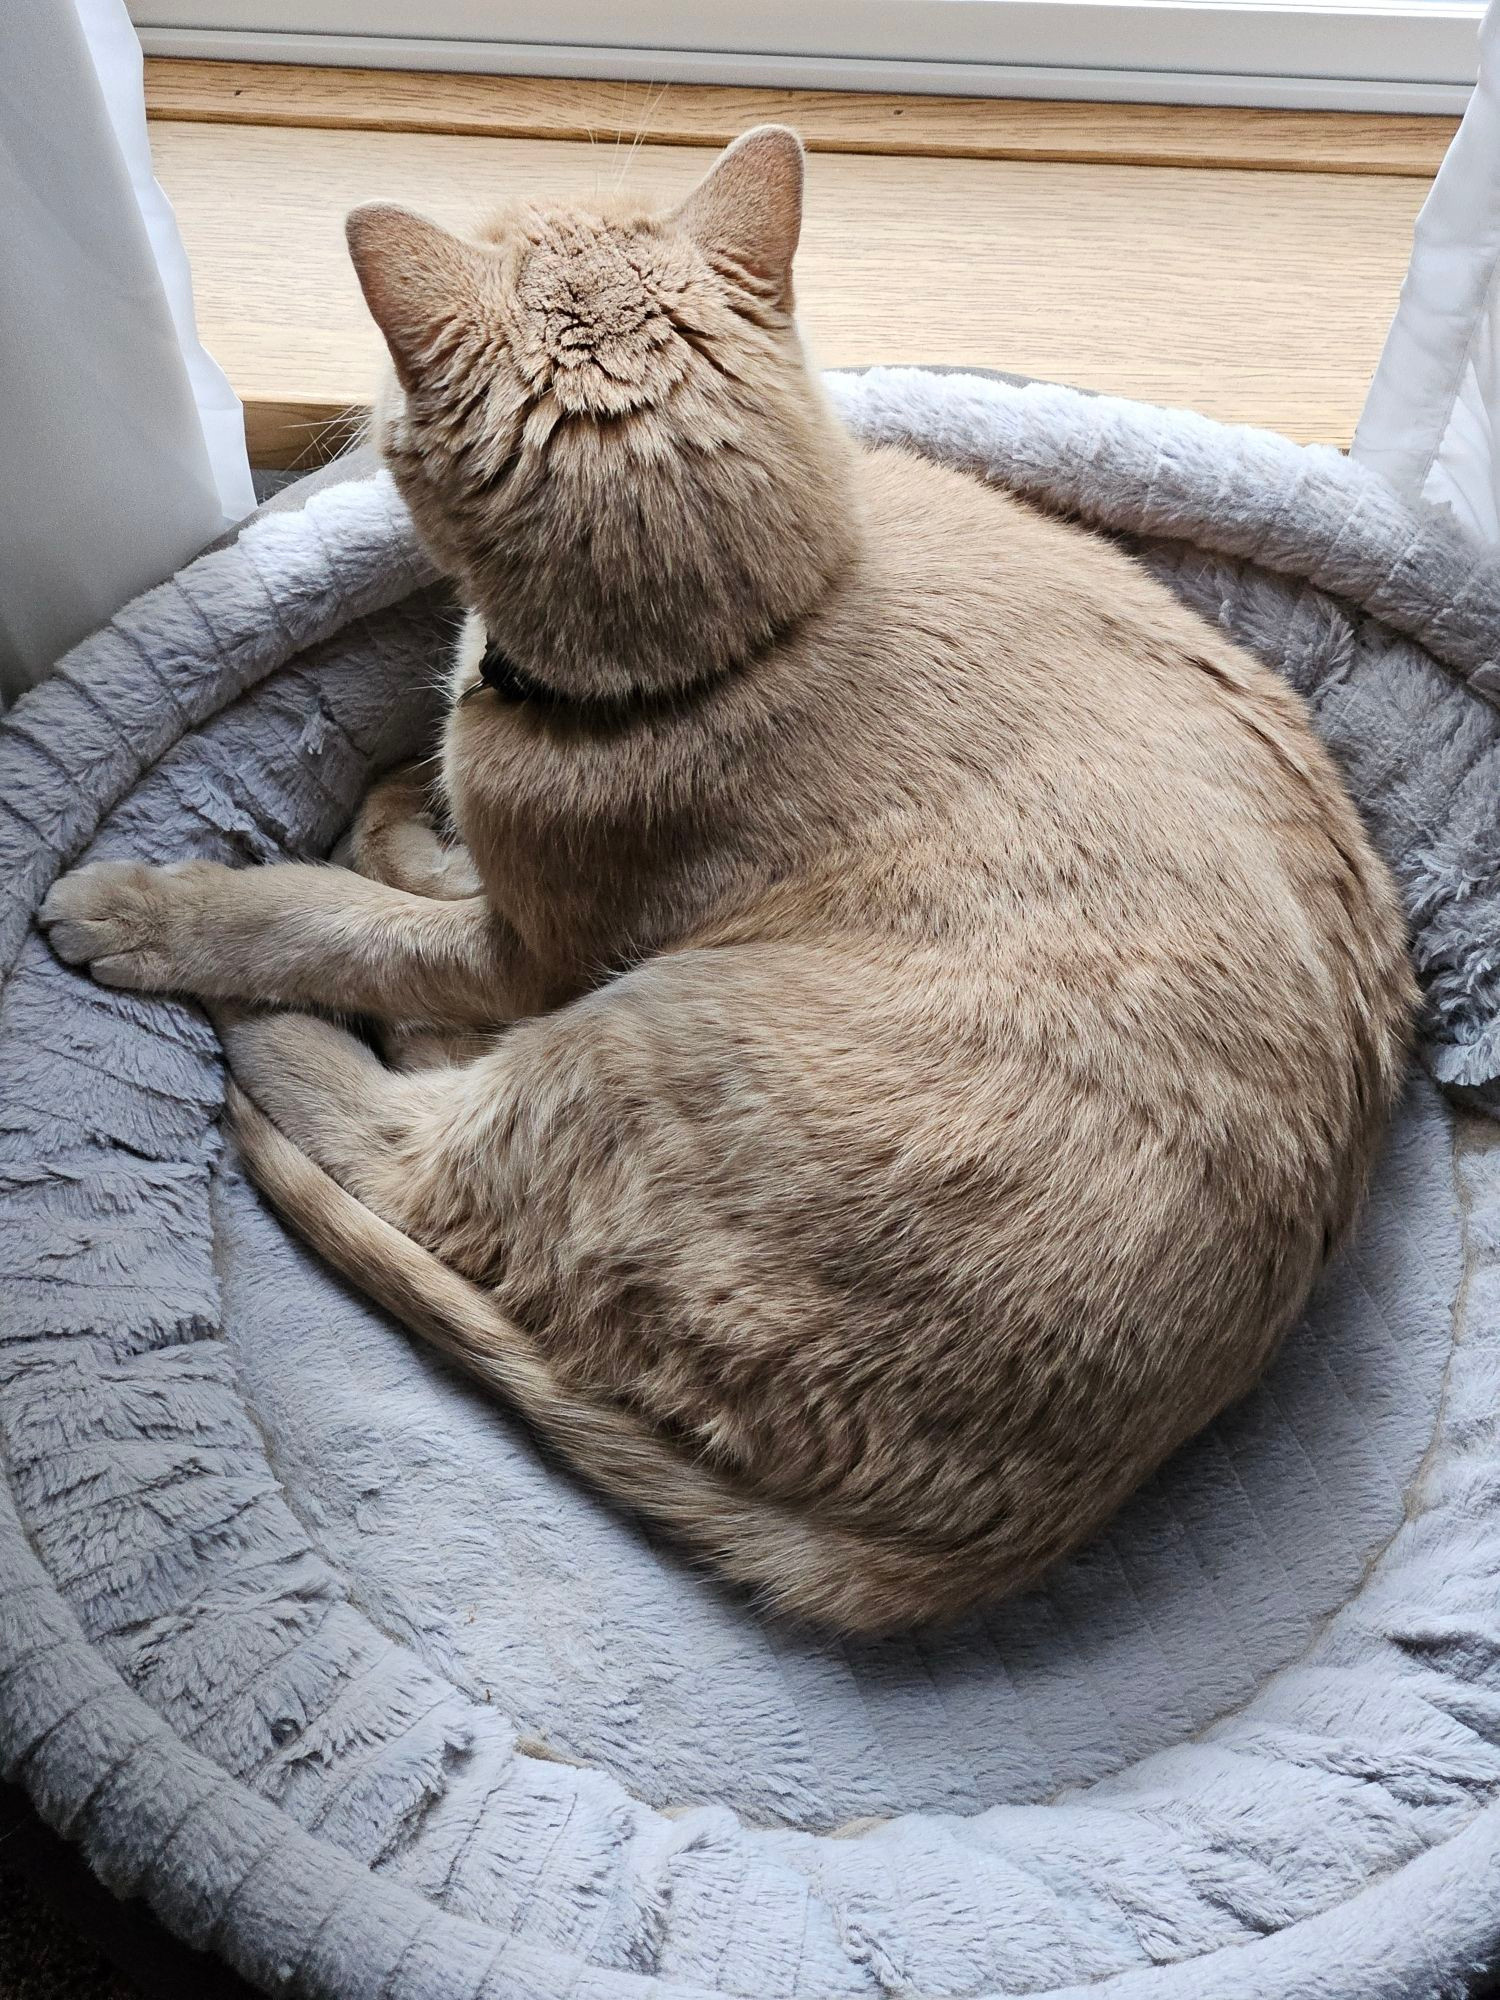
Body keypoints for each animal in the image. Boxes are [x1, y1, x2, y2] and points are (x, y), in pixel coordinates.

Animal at [38, 125, 1424, 1632]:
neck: (755, 640)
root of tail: (998, 1537)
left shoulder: (527, 951)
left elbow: (332, 916)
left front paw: (162, 905)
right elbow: (417, 860)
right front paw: (407, 813)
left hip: (621, 1050)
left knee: (406, 1148)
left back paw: (254, 1022)